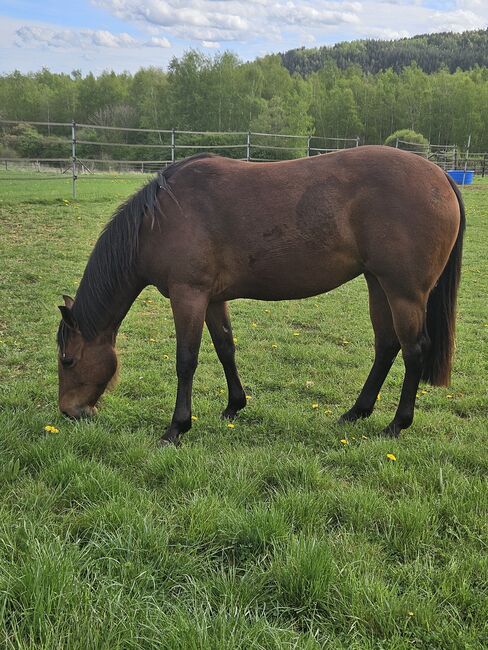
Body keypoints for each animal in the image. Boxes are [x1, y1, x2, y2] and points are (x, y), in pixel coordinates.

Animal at [57, 146, 465, 445]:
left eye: (68, 361)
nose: (69, 411)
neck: (159, 218)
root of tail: (440, 174)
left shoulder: (188, 295)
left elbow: (186, 361)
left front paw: (177, 427)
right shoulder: (211, 299)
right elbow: (225, 348)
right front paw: (234, 406)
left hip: (404, 292)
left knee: (414, 351)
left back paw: (397, 424)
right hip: (378, 284)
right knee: (386, 346)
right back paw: (355, 412)